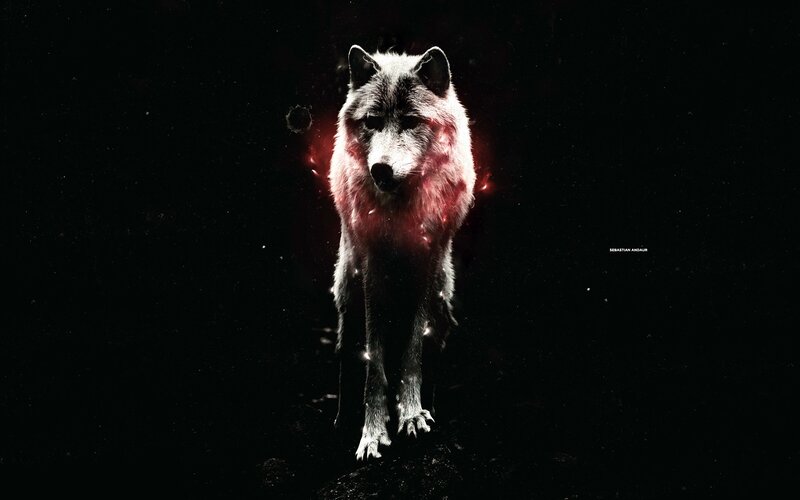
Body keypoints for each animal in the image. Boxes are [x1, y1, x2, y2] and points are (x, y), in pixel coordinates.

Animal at [329, 45, 476, 460]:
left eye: (411, 121)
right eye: (372, 121)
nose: (380, 169)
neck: (400, 211)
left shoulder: (427, 266)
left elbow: (412, 351)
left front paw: (411, 415)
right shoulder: (371, 269)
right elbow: (374, 362)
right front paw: (372, 432)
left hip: (443, 297)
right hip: (347, 293)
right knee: (347, 351)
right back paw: (342, 421)